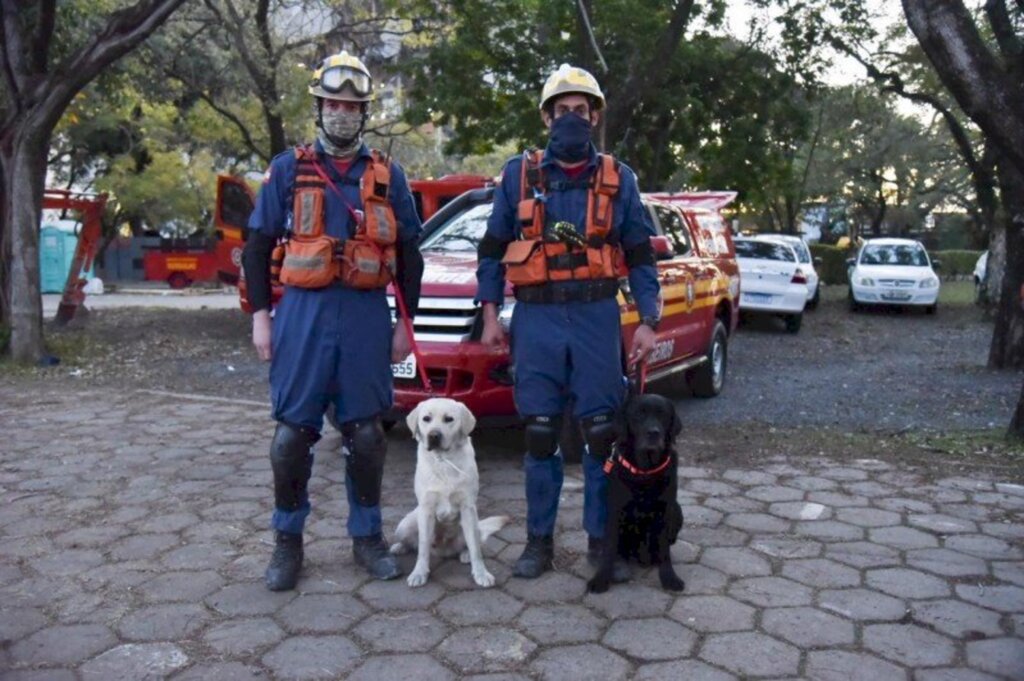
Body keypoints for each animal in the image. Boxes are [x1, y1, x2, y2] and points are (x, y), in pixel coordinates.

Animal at [387, 395, 507, 585]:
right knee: (414, 544)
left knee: (472, 543)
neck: (444, 460)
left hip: (473, 523)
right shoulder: (426, 509)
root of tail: (444, 551)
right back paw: (399, 547)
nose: (434, 435)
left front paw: (481, 573)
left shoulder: (468, 507)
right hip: (406, 524)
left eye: (449, 419)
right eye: (426, 419)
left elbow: (475, 549)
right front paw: (419, 573)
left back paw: (465, 555)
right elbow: (422, 548)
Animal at [589, 395, 684, 593]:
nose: (653, 433)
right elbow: (609, 549)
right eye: (639, 414)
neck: (644, 473)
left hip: (677, 509)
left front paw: (669, 578)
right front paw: (601, 579)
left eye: (663, 414)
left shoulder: (665, 511)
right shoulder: (614, 512)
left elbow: (665, 550)